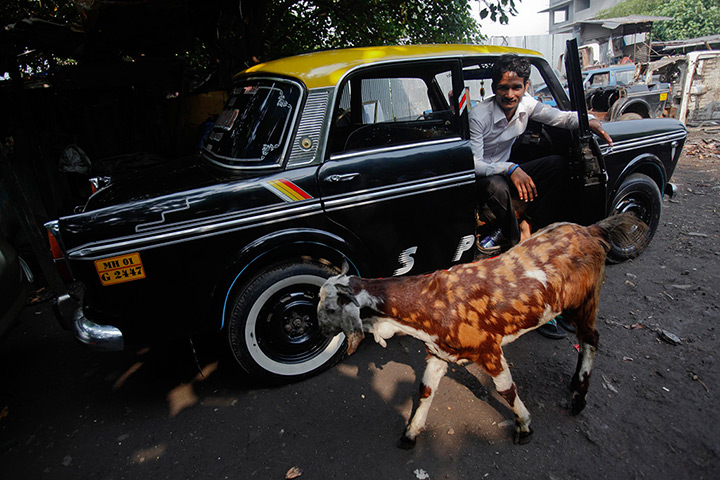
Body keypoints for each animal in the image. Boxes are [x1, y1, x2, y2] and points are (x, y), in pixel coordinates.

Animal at [317, 213, 644, 448]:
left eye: (331, 308)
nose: (319, 328)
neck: (431, 301)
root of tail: (591, 230)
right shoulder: (438, 353)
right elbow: (425, 390)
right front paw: (411, 432)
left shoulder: (490, 350)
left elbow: (506, 390)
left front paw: (524, 425)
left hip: (585, 301)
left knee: (590, 339)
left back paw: (579, 396)